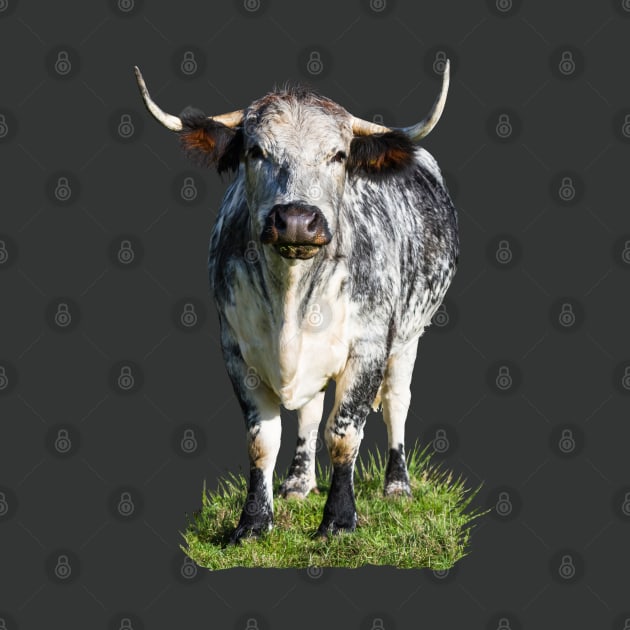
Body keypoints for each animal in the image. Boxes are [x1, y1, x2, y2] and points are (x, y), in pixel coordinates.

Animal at [135, 66, 460, 544]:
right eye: (256, 151)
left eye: (339, 155)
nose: (296, 220)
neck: (290, 299)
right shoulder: (235, 350)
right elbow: (262, 440)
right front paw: (253, 523)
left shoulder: (367, 348)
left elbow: (343, 433)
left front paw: (340, 520)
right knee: (308, 412)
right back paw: (299, 482)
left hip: (408, 337)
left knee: (396, 401)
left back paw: (397, 484)